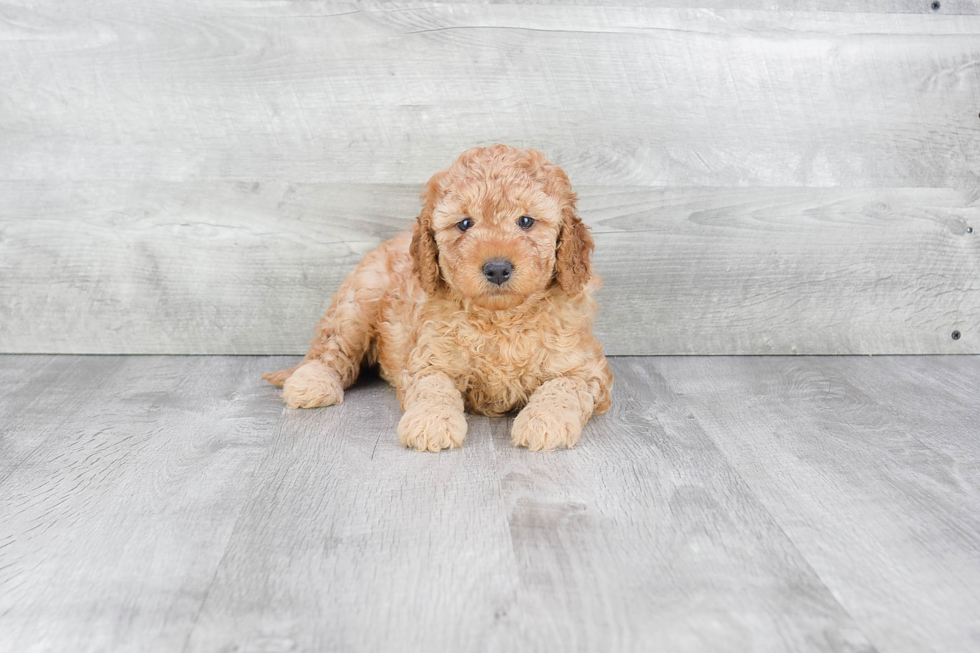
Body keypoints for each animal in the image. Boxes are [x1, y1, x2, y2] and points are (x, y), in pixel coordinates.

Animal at [260, 143, 612, 450]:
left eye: (526, 221)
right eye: (465, 224)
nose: (497, 268)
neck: (500, 318)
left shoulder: (586, 369)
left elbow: (563, 387)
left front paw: (544, 422)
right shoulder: (427, 360)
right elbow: (433, 388)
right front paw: (431, 423)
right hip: (357, 304)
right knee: (330, 350)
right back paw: (312, 383)